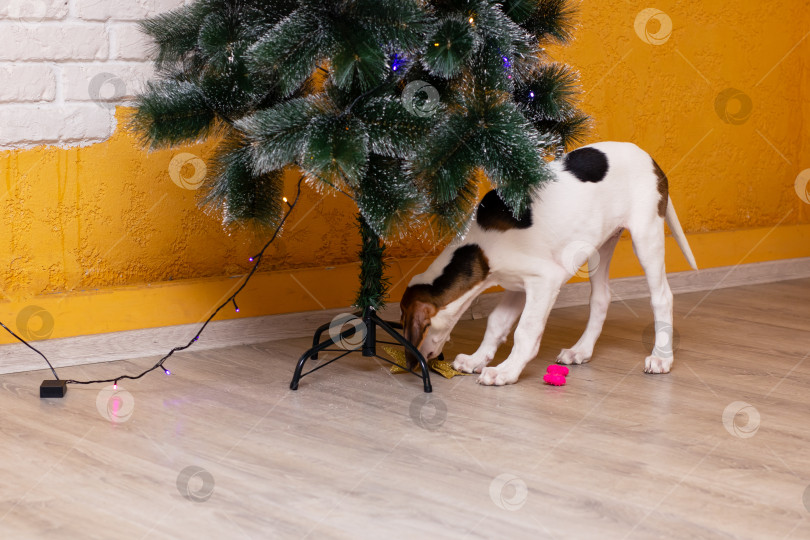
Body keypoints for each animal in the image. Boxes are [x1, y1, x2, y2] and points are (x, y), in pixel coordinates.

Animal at [400, 141, 696, 386]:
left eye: (407, 323)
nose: (413, 363)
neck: (478, 248)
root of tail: (649, 158)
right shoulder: (518, 286)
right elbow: (496, 322)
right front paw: (477, 359)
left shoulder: (544, 281)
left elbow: (525, 332)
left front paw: (506, 371)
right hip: (600, 245)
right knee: (601, 297)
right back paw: (581, 350)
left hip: (646, 236)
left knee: (662, 297)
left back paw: (661, 357)